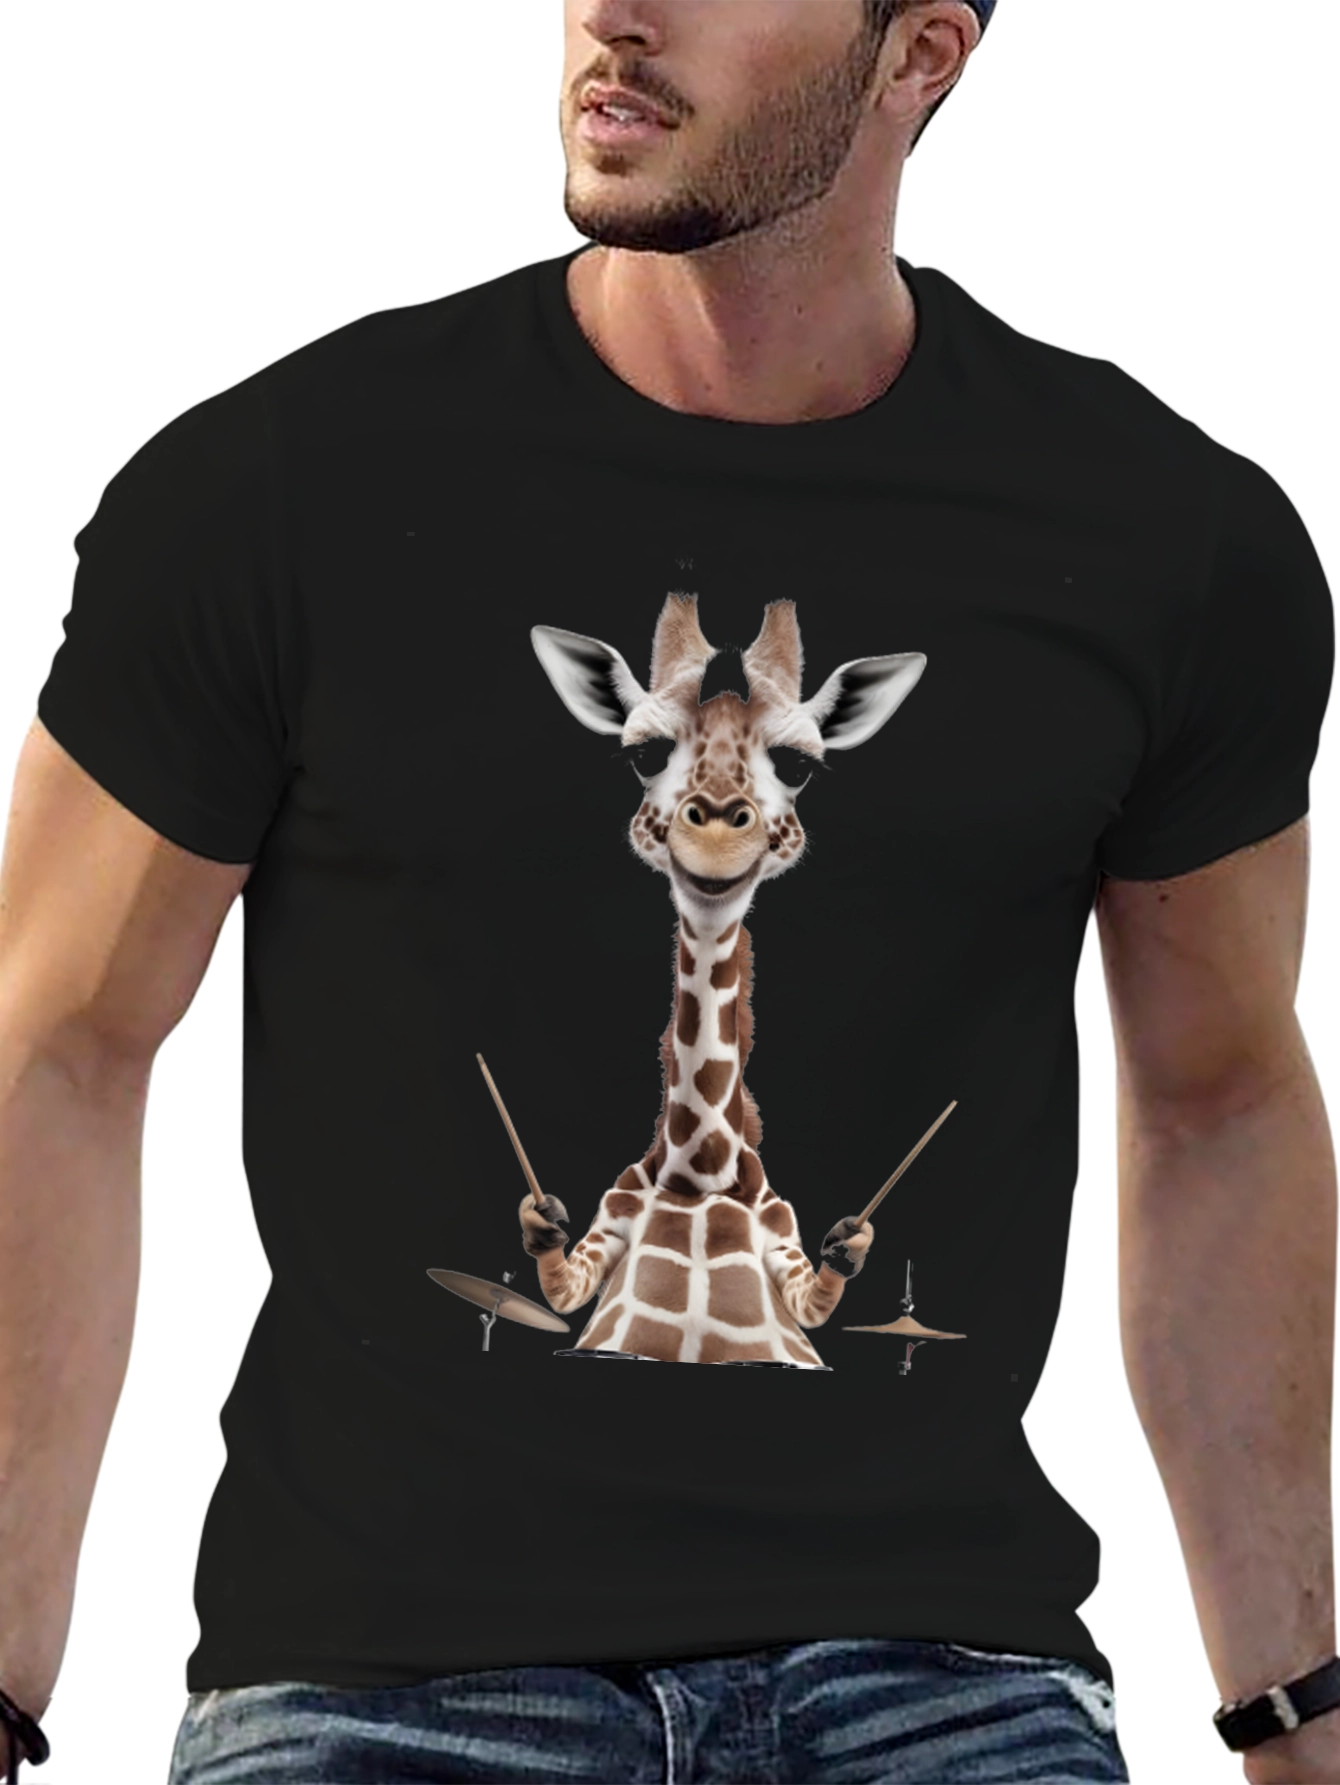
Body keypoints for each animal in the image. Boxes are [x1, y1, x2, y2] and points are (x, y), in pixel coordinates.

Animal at [521, 596, 925, 1367]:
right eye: (644, 751)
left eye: (798, 764)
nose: (713, 830)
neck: (701, 1176)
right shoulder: (608, 1227)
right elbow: (563, 1285)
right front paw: (541, 1219)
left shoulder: (784, 1240)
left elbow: (817, 1295)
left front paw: (851, 1241)